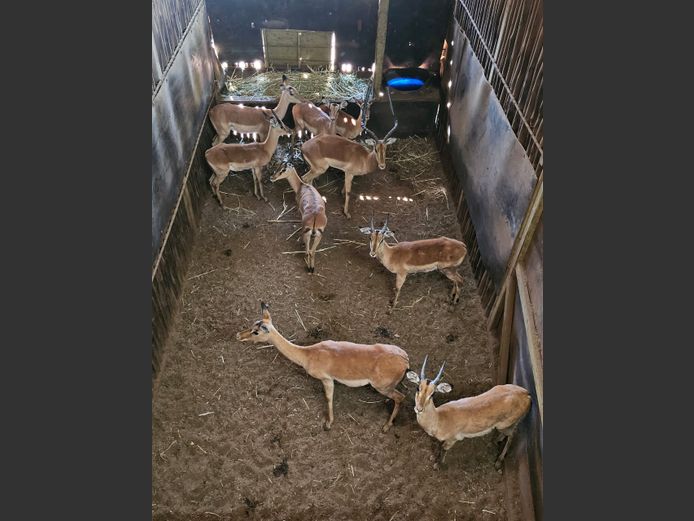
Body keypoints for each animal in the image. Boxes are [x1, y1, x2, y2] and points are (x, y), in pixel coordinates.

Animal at [236, 302, 410, 433]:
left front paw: (327, 424)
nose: (239, 335)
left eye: (256, 332)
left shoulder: (327, 379)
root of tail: (405, 360)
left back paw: (386, 426)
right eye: (253, 324)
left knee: (401, 397)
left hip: (382, 387)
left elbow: (328, 398)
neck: (309, 354)